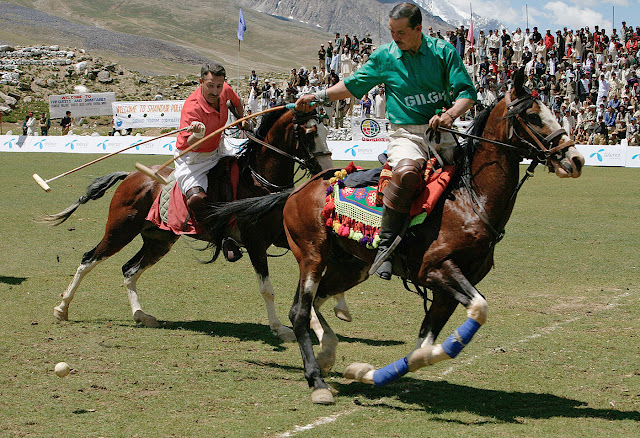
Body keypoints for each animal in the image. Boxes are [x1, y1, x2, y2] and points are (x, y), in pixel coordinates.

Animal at [41, 108, 340, 340]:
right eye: (310, 132)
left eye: (327, 130)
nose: (328, 171)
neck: (258, 181)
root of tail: (131, 176)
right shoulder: (255, 242)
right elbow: (267, 289)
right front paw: (279, 328)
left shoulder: (286, 238)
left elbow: (312, 275)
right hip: (119, 230)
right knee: (88, 259)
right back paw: (61, 309)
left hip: (158, 240)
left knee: (129, 269)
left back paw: (140, 314)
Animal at [214, 68, 584, 404]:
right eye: (534, 116)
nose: (576, 158)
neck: (470, 200)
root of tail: (295, 192)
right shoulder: (437, 271)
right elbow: (477, 310)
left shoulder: (448, 291)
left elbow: (425, 348)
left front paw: (368, 373)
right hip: (313, 255)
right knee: (299, 312)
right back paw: (317, 382)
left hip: (350, 266)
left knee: (318, 302)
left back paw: (328, 353)